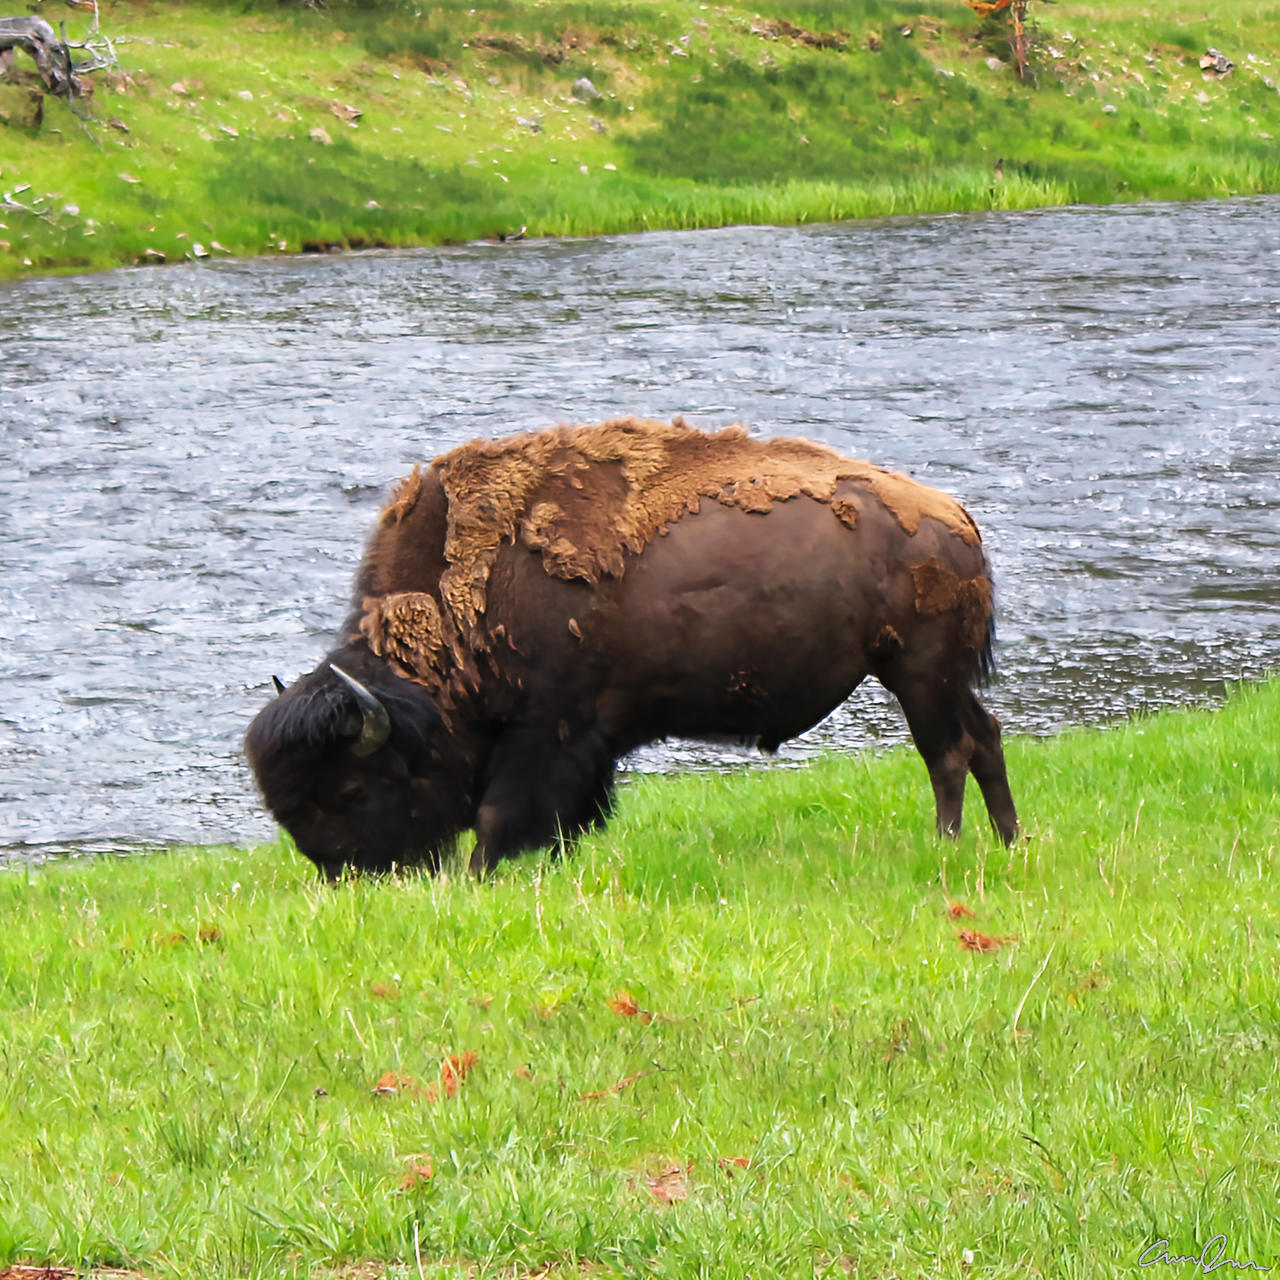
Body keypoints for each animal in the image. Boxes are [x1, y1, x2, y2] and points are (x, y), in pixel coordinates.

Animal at [245, 417, 1019, 877]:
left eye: (350, 787)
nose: (345, 873)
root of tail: (953, 516)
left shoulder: (546, 731)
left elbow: (499, 816)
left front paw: (478, 877)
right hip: (938, 678)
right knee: (984, 738)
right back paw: (1011, 841)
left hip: (917, 674)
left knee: (947, 754)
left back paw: (947, 848)